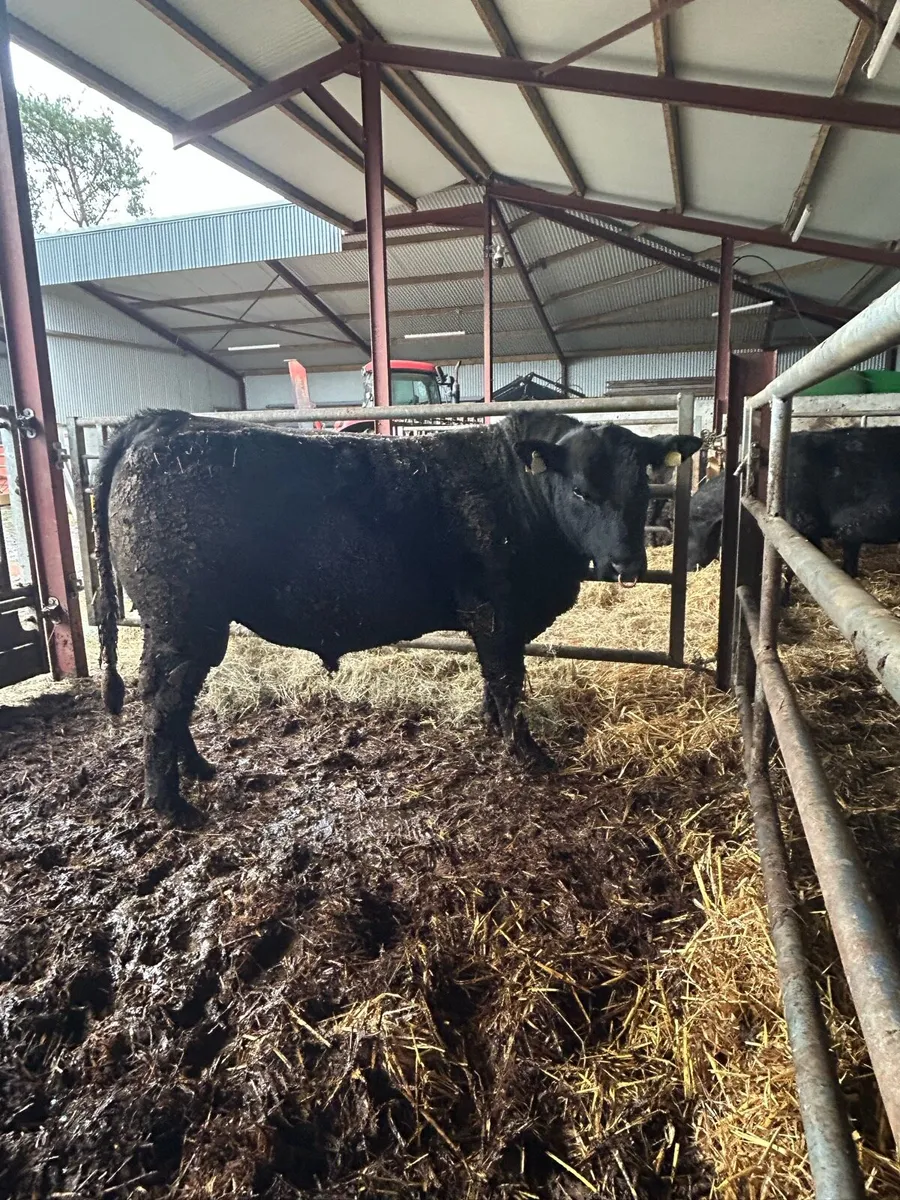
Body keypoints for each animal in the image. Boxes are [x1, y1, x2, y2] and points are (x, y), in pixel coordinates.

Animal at [93, 409, 701, 825]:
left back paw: (197, 770)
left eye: (643, 487)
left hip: (185, 625)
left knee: (171, 699)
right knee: (162, 701)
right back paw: (170, 805)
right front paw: (527, 753)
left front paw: (494, 733)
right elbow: (507, 682)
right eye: (580, 490)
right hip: (183, 620)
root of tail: (163, 421)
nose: (628, 563)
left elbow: (494, 684)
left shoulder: (495, 621)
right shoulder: (496, 613)